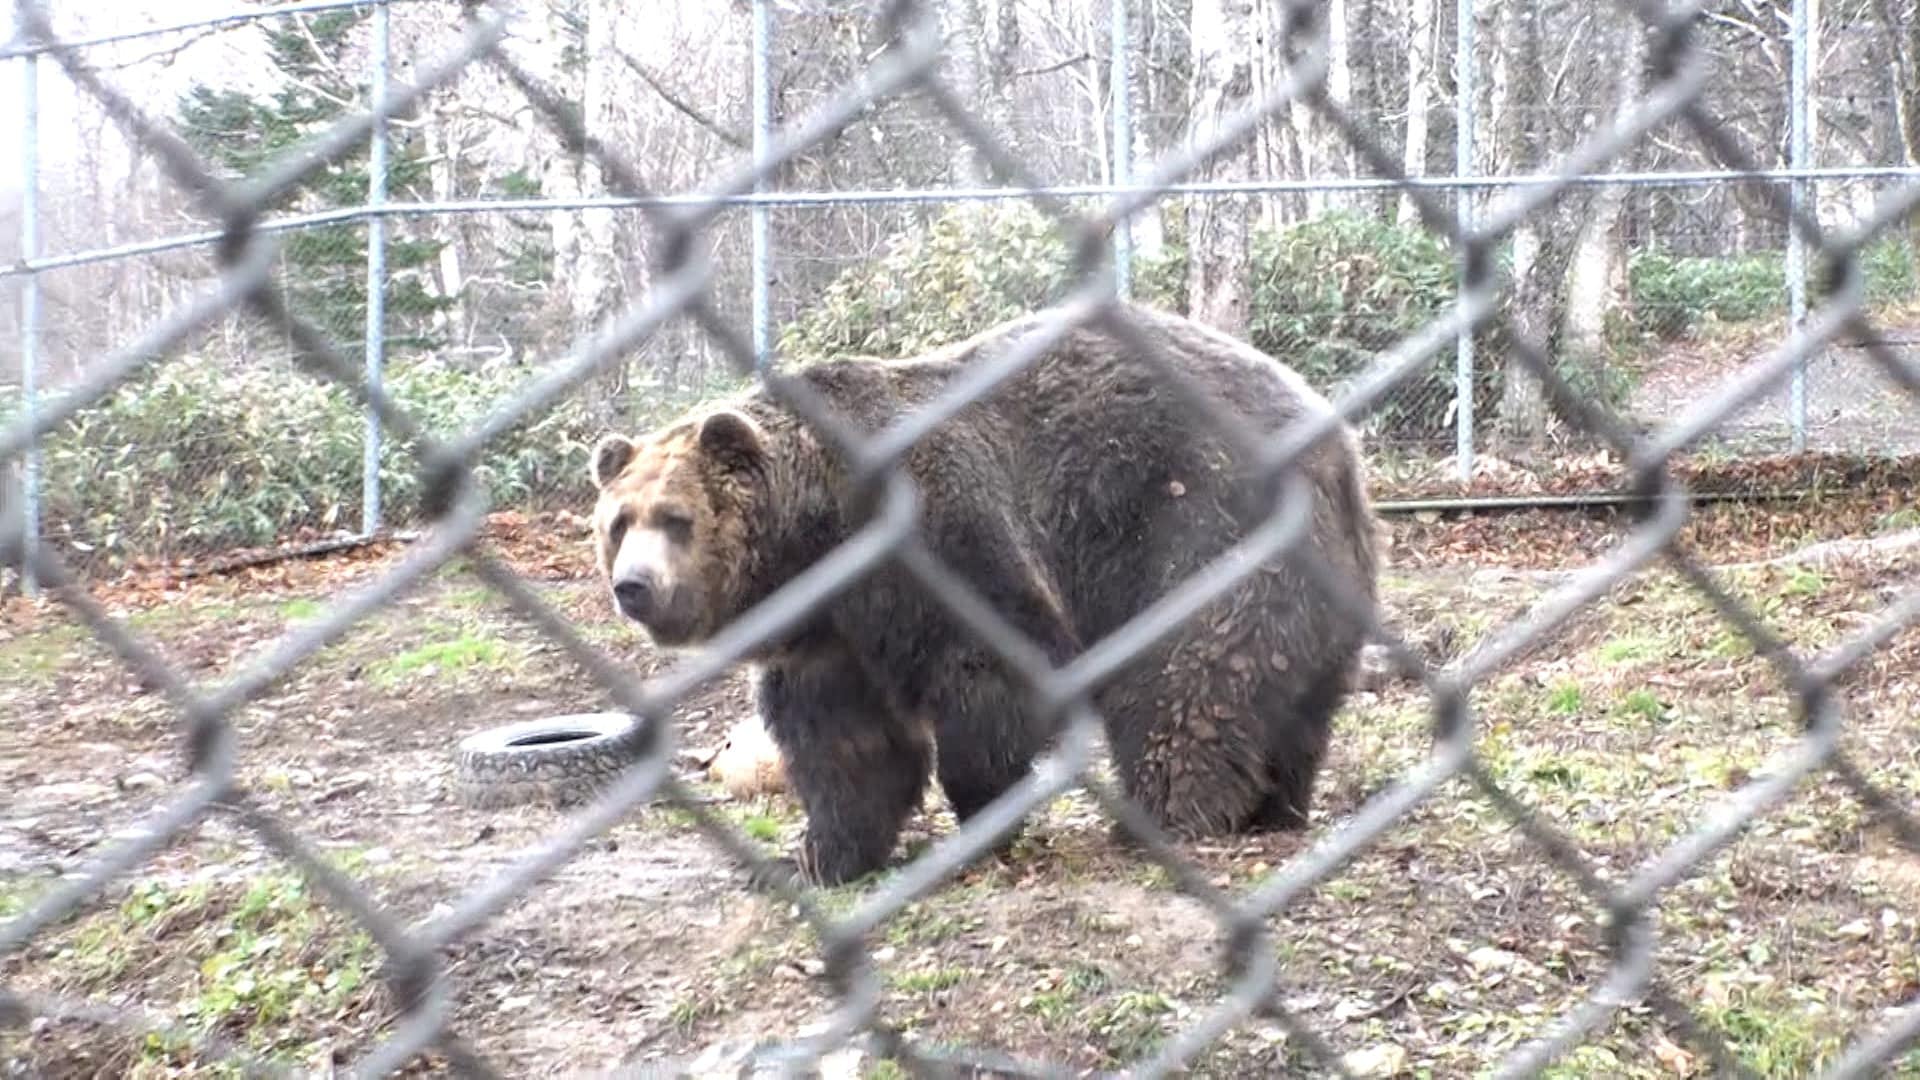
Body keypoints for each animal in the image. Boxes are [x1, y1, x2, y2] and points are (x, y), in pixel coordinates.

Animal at [587, 300, 1380, 888]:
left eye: (676, 518)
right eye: (618, 522)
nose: (634, 587)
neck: (820, 540)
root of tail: (1339, 446)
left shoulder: (939, 541)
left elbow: (990, 675)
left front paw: (977, 815)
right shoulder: (832, 637)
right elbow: (844, 743)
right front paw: (817, 853)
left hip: (1207, 530)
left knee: (1184, 680)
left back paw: (1164, 815)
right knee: (1290, 700)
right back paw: (1274, 805)